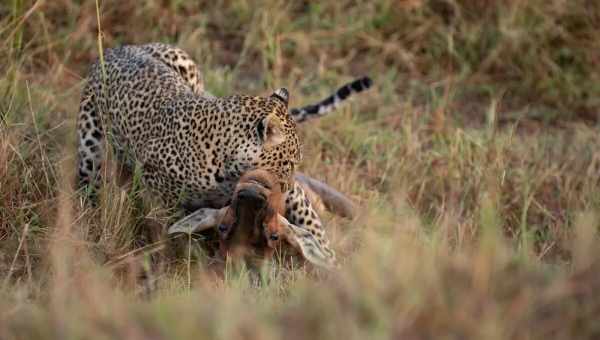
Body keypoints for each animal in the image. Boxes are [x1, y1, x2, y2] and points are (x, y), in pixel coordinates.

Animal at [77, 42, 372, 266]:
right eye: (289, 162)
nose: (289, 186)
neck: (227, 171)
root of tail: (119, 47)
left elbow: (312, 226)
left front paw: (329, 259)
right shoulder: (163, 196)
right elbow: (178, 230)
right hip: (89, 146)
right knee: (88, 184)